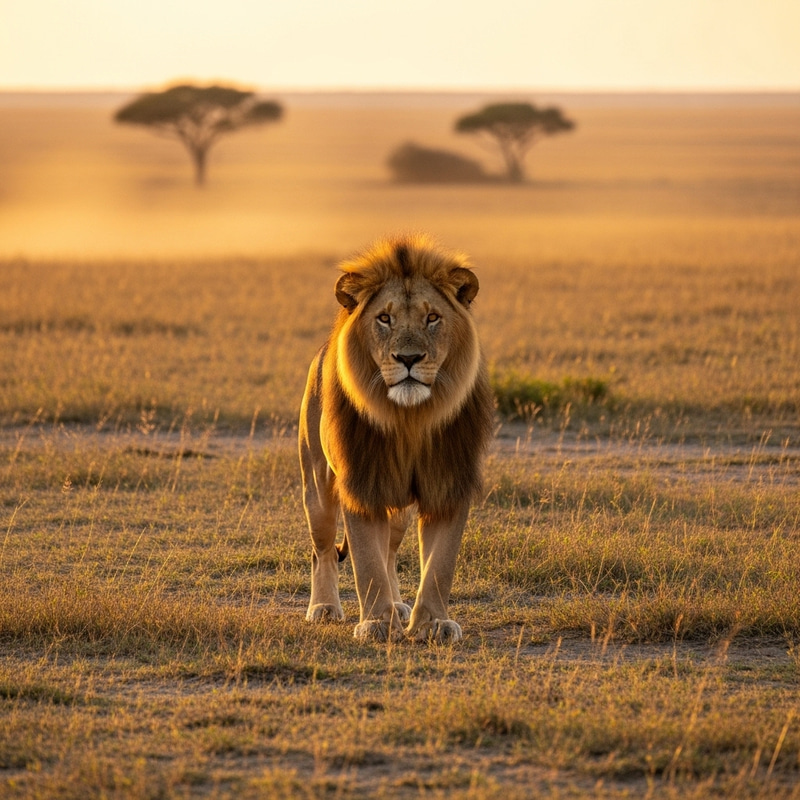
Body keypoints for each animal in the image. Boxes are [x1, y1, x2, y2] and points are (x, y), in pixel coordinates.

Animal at [298, 234, 494, 643]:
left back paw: (399, 604)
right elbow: (366, 563)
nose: (408, 358)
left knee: (389, 550)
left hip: (399, 508)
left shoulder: (448, 482)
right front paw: (376, 624)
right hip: (318, 486)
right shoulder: (361, 482)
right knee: (323, 549)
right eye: (384, 318)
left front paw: (433, 624)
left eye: (432, 318)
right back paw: (324, 607)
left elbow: (439, 565)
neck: (409, 419)